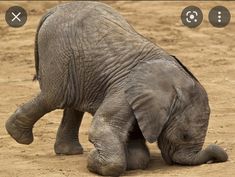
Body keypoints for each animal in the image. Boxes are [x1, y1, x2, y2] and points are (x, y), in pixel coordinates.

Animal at [5, 1, 228, 176]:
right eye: (184, 136)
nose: (214, 160)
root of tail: (54, 10)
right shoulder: (124, 91)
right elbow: (102, 128)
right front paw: (95, 159)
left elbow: (138, 151)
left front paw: (119, 157)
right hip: (58, 51)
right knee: (54, 97)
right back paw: (19, 136)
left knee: (71, 104)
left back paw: (69, 152)